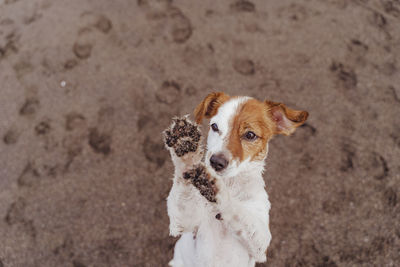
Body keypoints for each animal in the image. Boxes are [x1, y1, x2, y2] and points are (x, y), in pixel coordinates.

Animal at [162, 92, 310, 267]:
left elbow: (238, 211)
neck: (230, 183)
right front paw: (185, 147)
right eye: (214, 126)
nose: (215, 162)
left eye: (250, 135)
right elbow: (183, 182)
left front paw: (217, 191)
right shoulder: (183, 223)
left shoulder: (262, 245)